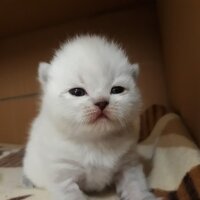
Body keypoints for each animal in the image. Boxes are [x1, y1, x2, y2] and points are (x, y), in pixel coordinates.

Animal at [23, 35, 156, 199]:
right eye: (77, 92)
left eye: (117, 90)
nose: (101, 102)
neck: (96, 141)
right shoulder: (63, 176)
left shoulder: (128, 164)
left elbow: (136, 186)